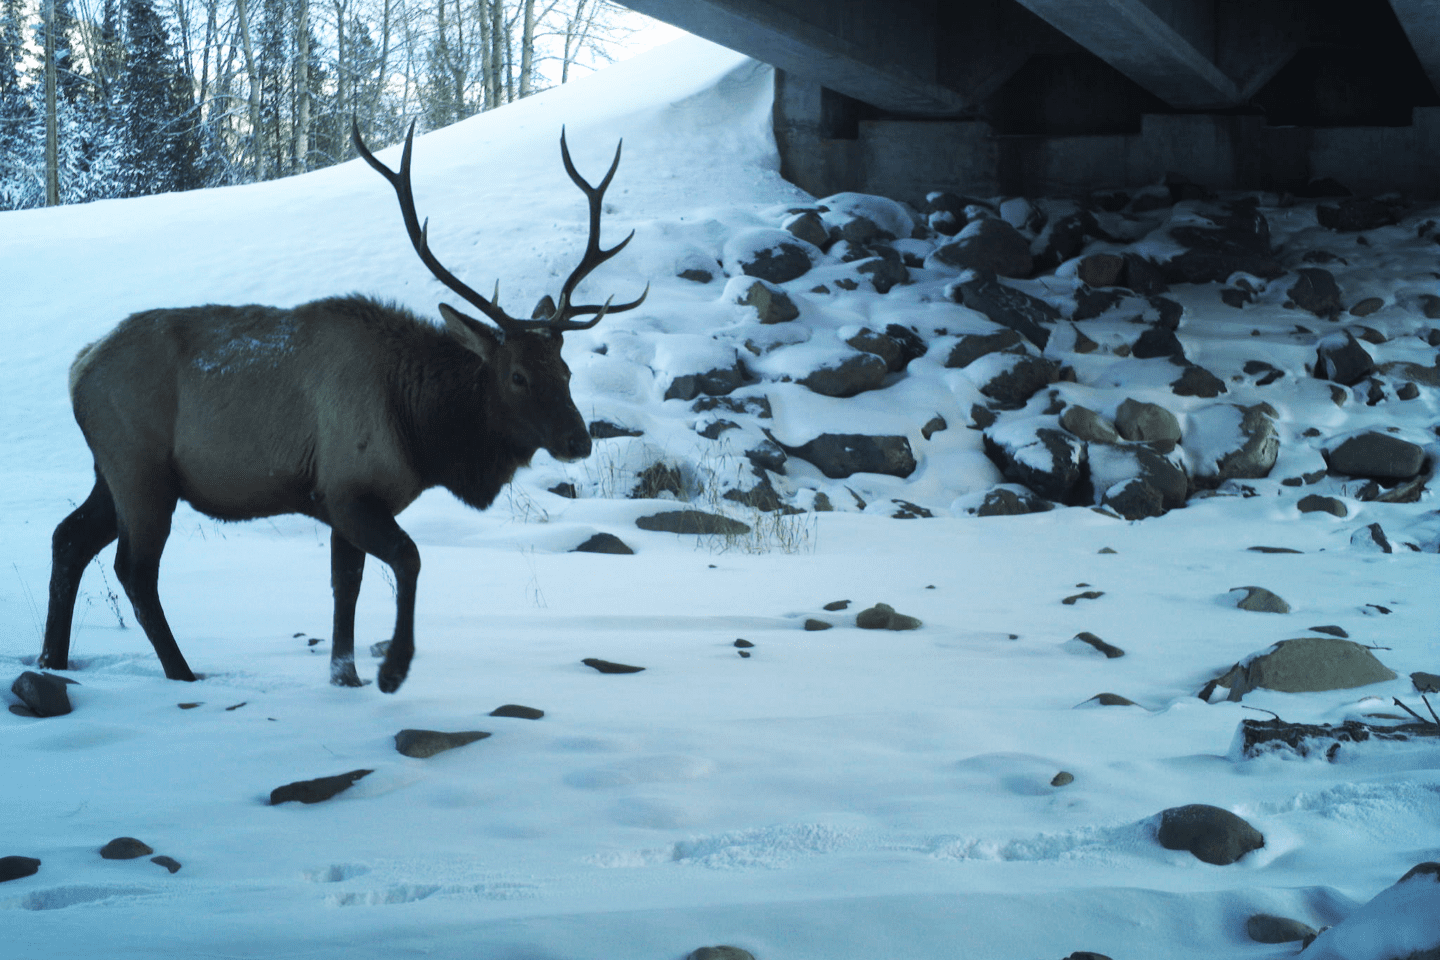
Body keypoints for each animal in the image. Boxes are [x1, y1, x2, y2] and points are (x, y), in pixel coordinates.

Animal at [37, 121, 646, 693]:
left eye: (566, 371)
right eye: (517, 376)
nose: (578, 439)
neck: (423, 434)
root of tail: (78, 367)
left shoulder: (339, 502)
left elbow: (345, 586)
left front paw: (344, 674)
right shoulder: (348, 488)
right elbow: (407, 559)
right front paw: (392, 669)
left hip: (112, 472)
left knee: (69, 538)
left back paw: (51, 660)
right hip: (141, 470)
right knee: (134, 570)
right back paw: (181, 672)